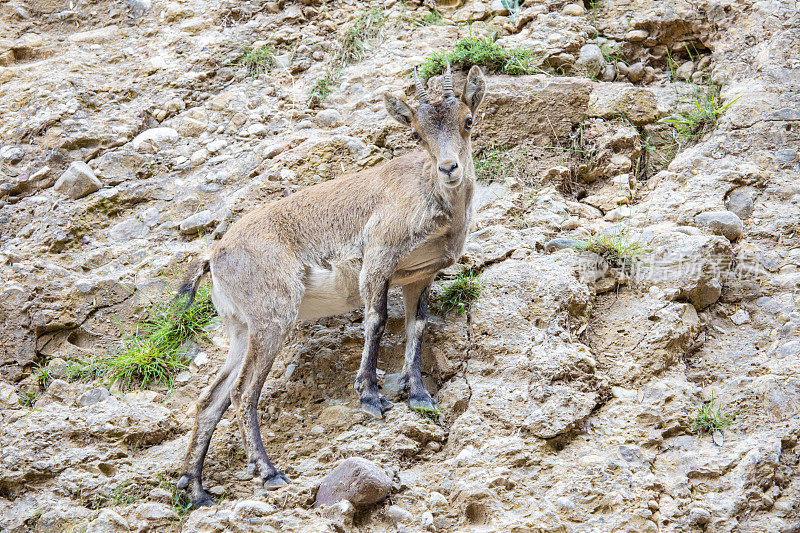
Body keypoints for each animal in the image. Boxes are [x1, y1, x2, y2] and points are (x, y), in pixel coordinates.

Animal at [177, 63, 488, 508]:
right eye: (416, 134)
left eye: (467, 120)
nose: (449, 169)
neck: (434, 202)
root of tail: (214, 256)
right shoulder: (377, 261)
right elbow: (376, 320)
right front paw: (370, 396)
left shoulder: (417, 276)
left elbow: (416, 327)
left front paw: (418, 395)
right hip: (272, 319)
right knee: (242, 392)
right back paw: (268, 472)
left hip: (240, 329)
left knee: (209, 400)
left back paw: (195, 488)